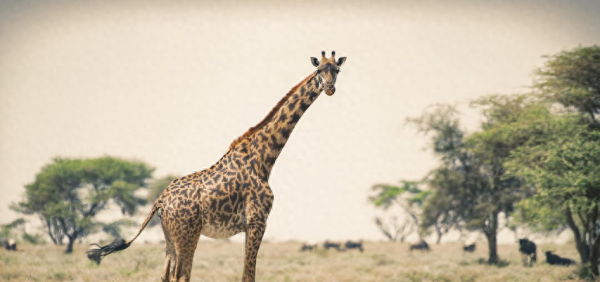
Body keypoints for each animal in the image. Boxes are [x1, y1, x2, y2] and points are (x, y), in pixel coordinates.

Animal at [86, 51, 344, 282]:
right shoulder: (257, 221)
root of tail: (159, 200)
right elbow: (248, 276)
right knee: (181, 276)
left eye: (337, 70)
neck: (263, 159)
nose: (330, 88)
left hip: (170, 236)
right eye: (319, 70)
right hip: (187, 235)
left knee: (166, 275)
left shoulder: (251, 225)